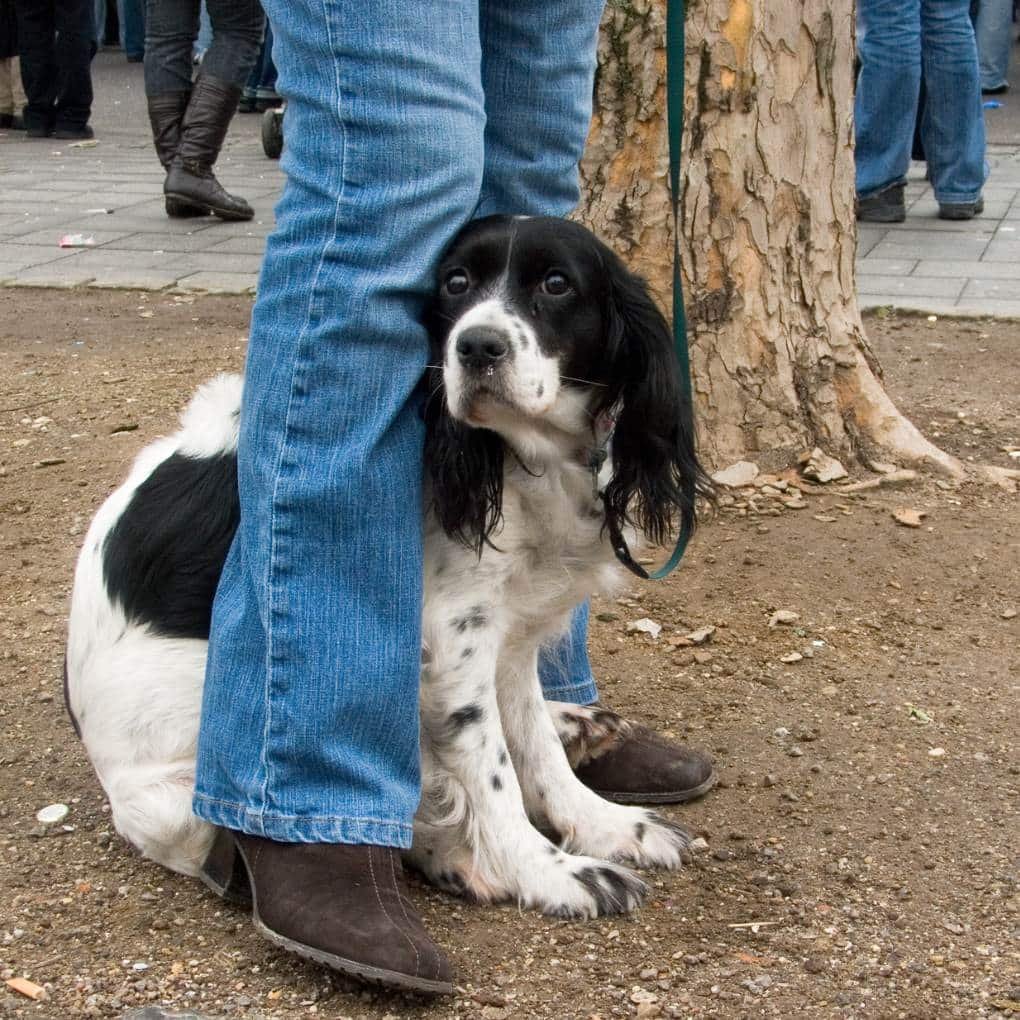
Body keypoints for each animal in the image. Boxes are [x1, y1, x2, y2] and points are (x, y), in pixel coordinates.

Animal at [65, 213, 709, 918]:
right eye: (455, 282)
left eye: (557, 283)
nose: (477, 346)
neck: (520, 460)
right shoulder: (454, 636)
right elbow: (491, 770)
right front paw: (548, 872)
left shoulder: (510, 631)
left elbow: (534, 747)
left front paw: (605, 823)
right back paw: (458, 855)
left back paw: (574, 725)